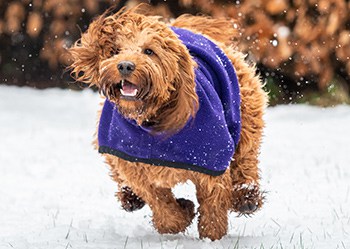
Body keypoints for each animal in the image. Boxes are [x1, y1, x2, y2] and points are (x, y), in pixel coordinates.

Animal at [69, 4, 270, 241]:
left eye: (149, 51)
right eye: (115, 51)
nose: (125, 66)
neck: (152, 119)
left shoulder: (211, 159)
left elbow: (213, 199)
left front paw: (212, 235)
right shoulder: (134, 165)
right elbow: (159, 202)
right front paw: (181, 215)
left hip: (246, 113)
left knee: (246, 157)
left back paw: (246, 196)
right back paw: (130, 197)